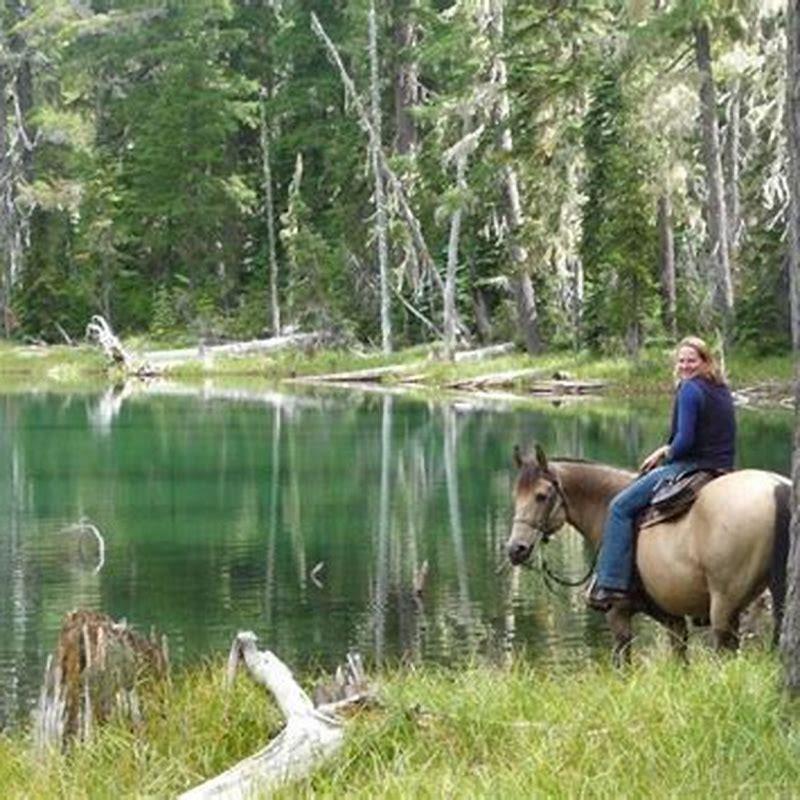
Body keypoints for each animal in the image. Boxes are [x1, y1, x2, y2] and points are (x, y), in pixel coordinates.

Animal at [506, 445, 791, 664]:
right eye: (515, 495)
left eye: (541, 496)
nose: (515, 549)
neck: (605, 505)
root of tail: (777, 486)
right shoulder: (671, 617)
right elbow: (679, 660)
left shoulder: (618, 613)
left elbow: (623, 664)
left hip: (724, 605)